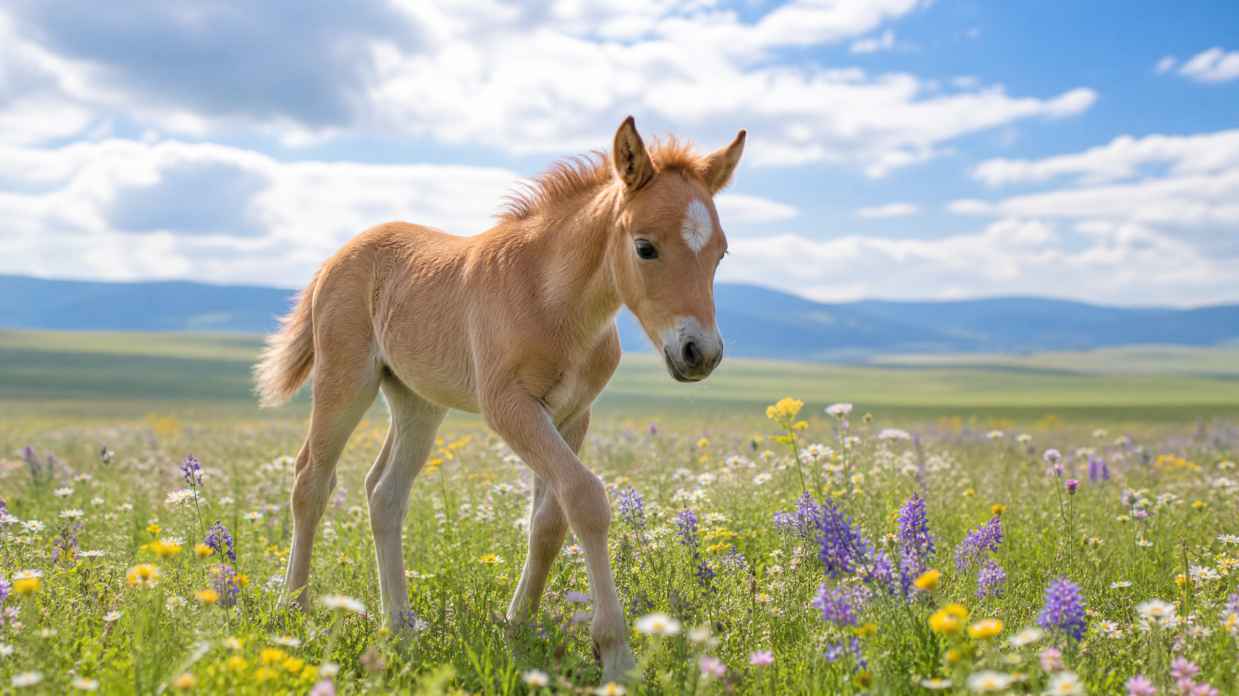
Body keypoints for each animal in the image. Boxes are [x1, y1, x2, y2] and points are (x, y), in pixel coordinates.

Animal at [254, 116, 745, 682]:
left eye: (720, 253)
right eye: (645, 247)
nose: (699, 353)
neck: (552, 301)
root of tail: (337, 256)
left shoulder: (572, 415)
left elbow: (549, 522)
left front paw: (519, 625)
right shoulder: (509, 408)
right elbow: (586, 498)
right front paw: (616, 653)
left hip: (417, 401)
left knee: (385, 493)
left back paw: (399, 623)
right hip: (345, 380)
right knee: (312, 480)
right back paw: (293, 610)